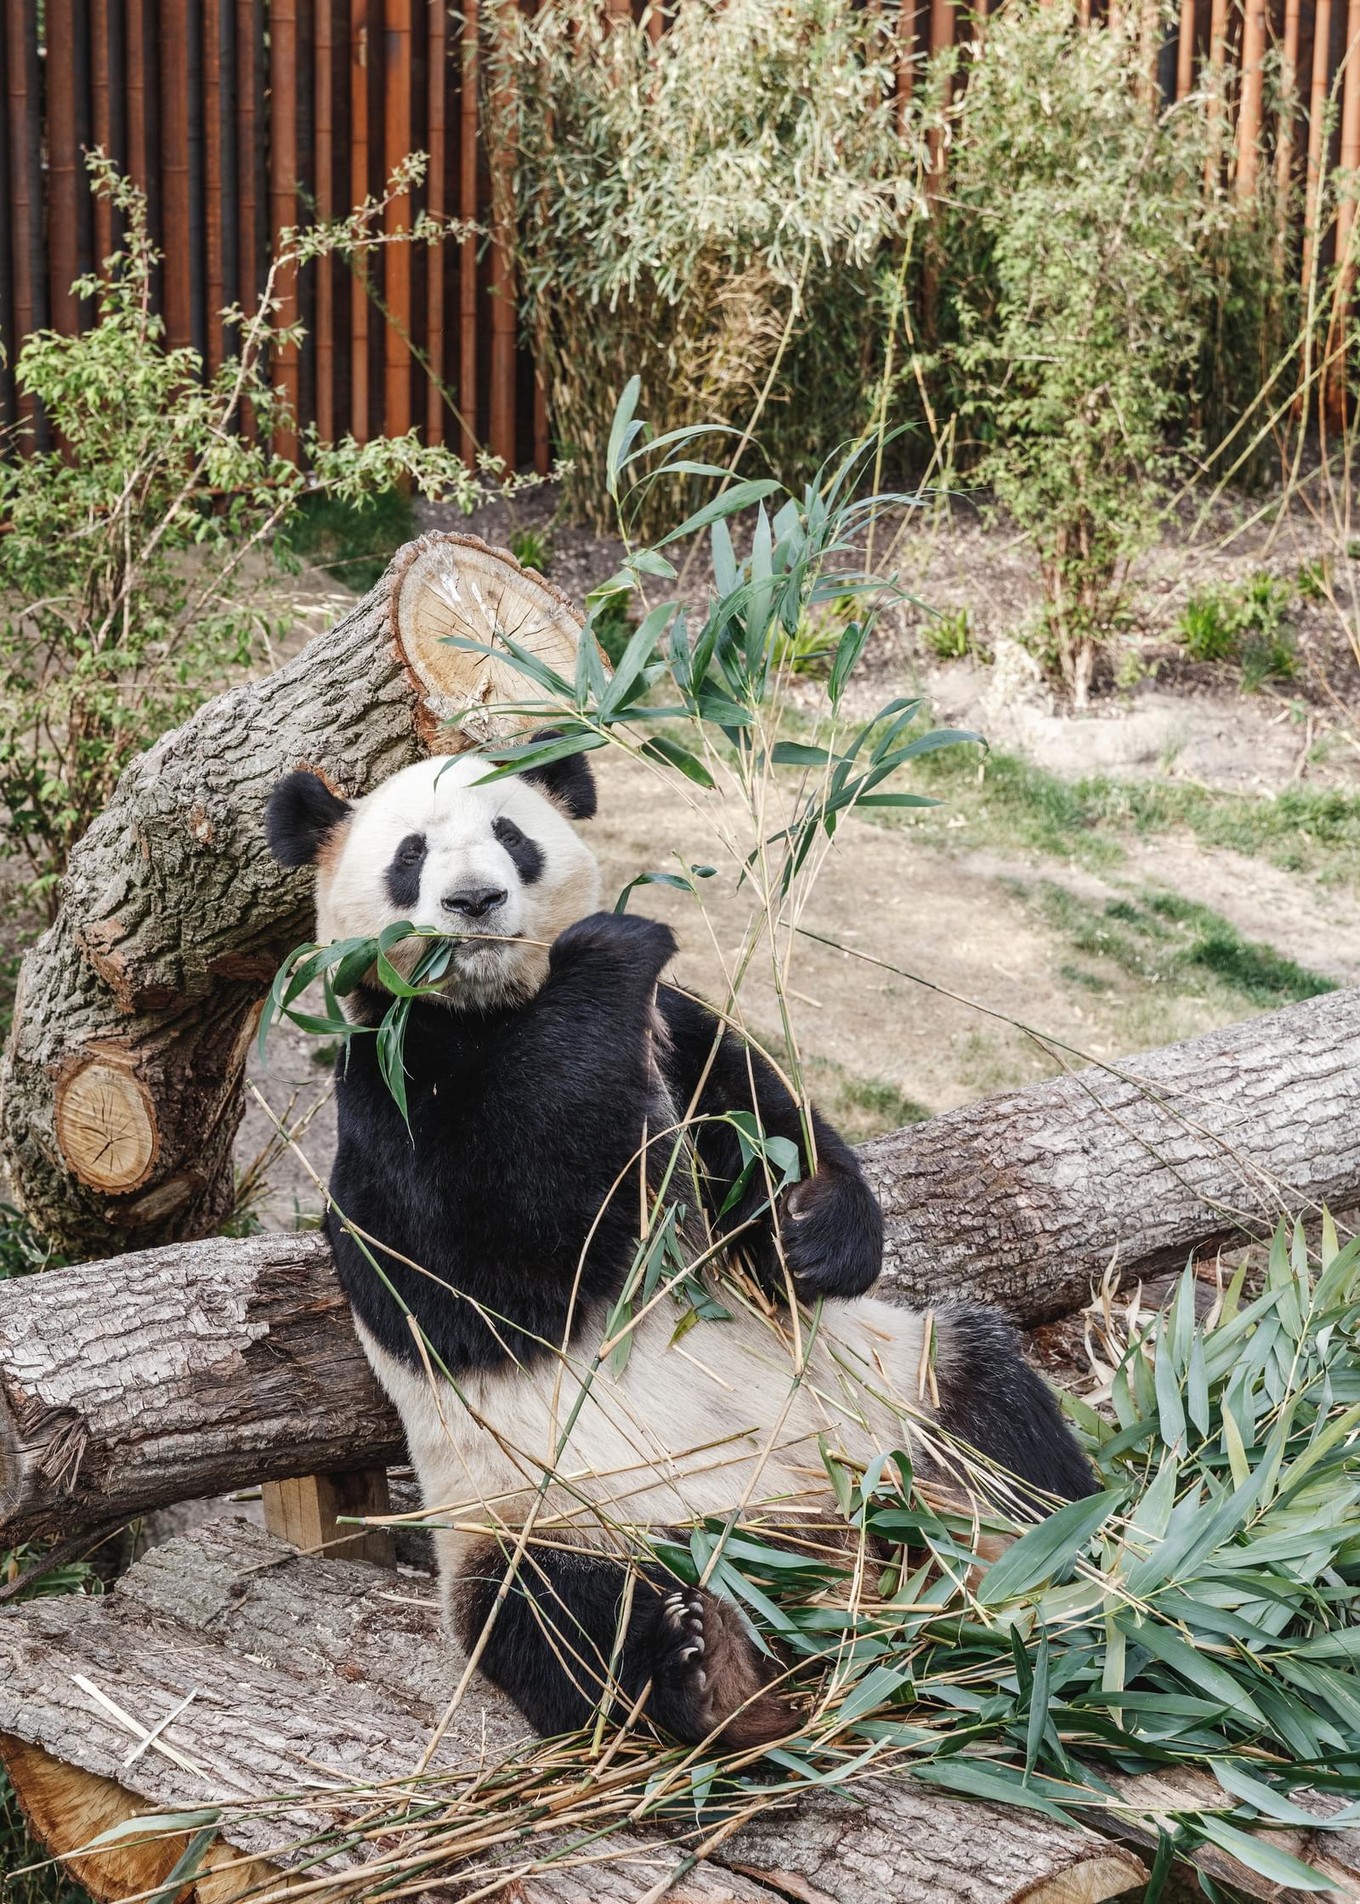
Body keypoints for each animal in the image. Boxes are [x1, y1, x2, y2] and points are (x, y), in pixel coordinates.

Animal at [266, 742, 1089, 1751]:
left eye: (510, 835)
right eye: (409, 856)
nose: (474, 902)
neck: (498, 1006)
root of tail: (814, 1547)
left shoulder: (682, 1040)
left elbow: (770, 1117)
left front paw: (812, 1236)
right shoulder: (388, 1083)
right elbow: (482, 1273)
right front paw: (609, 951)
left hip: (895, 1394)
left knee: (993, 1408)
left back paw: (1060, 1548)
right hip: (546, 1511)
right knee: (556, 1617)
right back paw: (708, 1670)